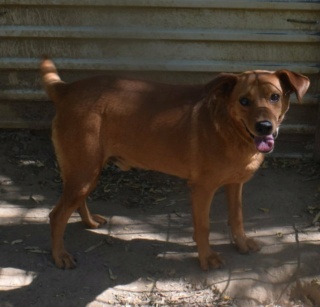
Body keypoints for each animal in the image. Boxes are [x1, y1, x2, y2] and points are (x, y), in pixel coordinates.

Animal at [40, 59, 310, 270]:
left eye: (275, 97)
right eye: (244, 101)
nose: (265, 127)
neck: (229, 129)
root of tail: (67, 89)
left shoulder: (235, 184)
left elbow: (237, 219)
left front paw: (241, 244)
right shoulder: (201, 189)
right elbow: (203, 227)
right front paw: (206, 258)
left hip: (86, 171)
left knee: (76, 202)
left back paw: (90, 222)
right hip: (84, 171)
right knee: (56, 215)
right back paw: (60, 255)